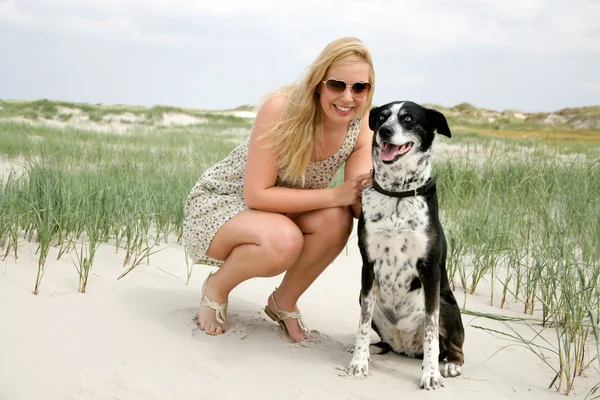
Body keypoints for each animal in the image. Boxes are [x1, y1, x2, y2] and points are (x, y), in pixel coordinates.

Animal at [344, 101, 466, 390]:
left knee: (454, 349)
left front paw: (430, 374)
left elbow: (432, 330)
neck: (397, 193)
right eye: (381, 118)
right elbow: (362, 323)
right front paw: (359, 361)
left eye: (408, 119)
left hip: (446, 302)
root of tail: (406, 347)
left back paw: (449, 365)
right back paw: (373, 348)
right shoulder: (369, 266)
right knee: (383, 340)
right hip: (365, 298)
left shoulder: (430, 269)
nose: (385, 132)